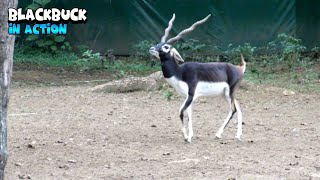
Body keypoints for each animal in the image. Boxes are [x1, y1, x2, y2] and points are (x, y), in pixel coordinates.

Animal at [149, 13, 246, 142]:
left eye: (166, 47)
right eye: (158, 43)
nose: (151, 49)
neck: (179, 72)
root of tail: (239, 68)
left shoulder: (191, 95)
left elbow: (181, 112)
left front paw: (186, 137)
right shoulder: (187, 97)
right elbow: (189, 114)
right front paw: (190, 135)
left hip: (230, 93)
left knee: (233, 110)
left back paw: (218, 134)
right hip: (227, 94)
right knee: (238, 108)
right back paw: (237, 135)